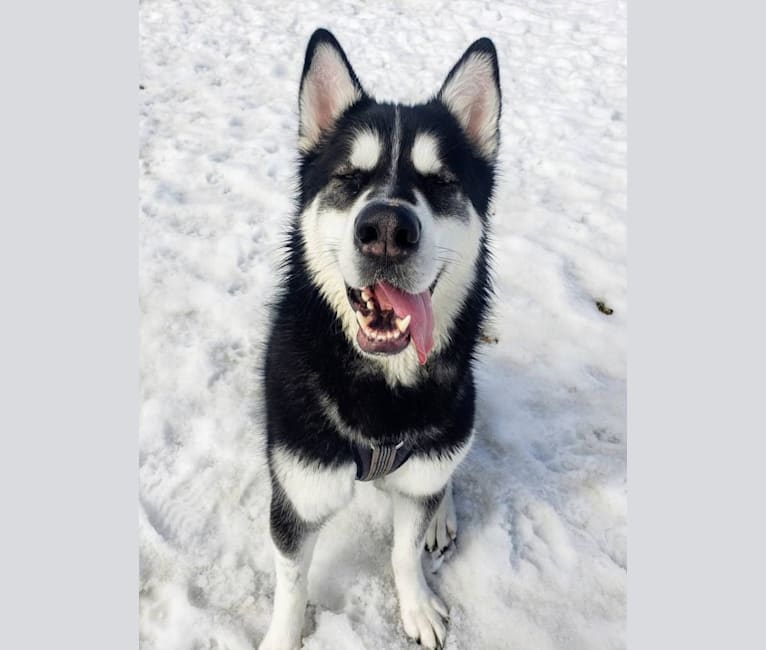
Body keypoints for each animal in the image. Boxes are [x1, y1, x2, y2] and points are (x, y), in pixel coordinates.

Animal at [262, 29, 504, 648]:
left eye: (441, 182)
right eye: (349, 177)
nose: (388, 231)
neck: (380, 392)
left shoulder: (425, 464)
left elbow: (404, 550)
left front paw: (416, 605)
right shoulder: (298, 492)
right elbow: (291, 584)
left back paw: (441, 514)